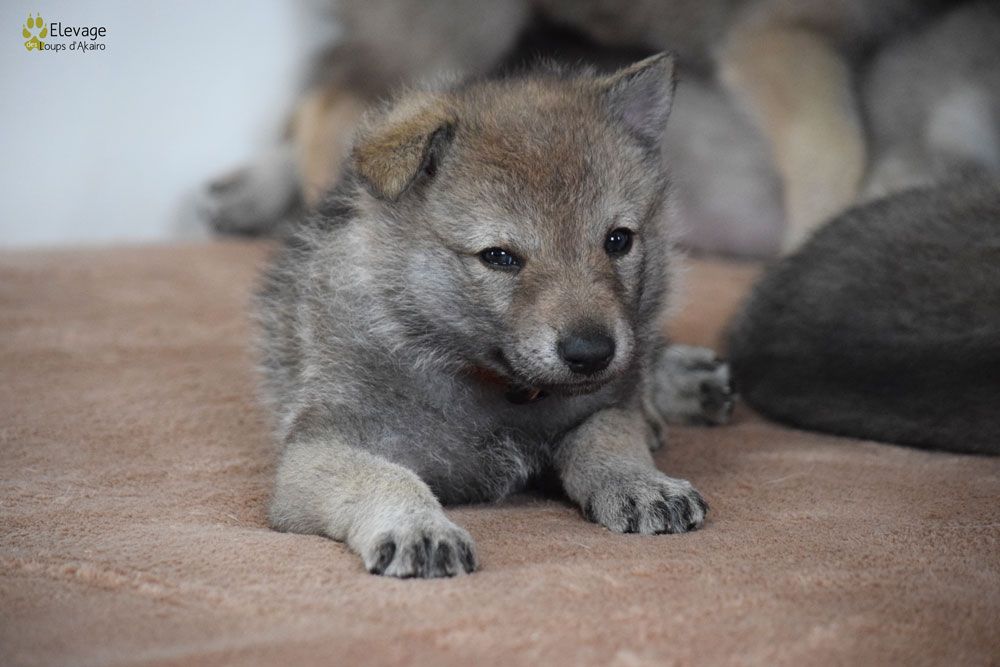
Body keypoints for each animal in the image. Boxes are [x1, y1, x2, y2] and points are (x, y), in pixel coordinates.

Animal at [257, 55, 734, 578]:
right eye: (500, 257)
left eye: (618, 240)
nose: (591, 353)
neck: (495, 388)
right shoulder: (321, 449)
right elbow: (384, 477)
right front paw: (418, 528)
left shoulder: (605, 405)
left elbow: (606, 436)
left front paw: (640, 482)